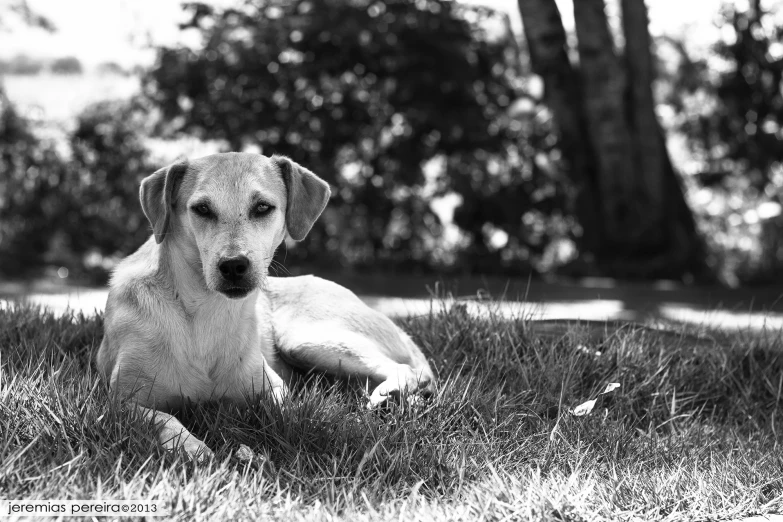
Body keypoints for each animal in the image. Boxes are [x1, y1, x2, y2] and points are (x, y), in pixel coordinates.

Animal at [95, 151, 438, 460]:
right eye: (202, 209)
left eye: (262, 207)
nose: (234, 265)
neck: (205, 312)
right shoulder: (119, 402)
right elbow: (162, 418)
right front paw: (193, 447)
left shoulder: (270, 386)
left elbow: (286, 412)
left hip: (306, 339)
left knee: (407, 369)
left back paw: (389, 395)